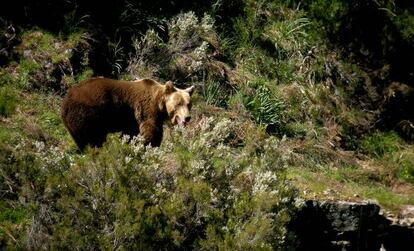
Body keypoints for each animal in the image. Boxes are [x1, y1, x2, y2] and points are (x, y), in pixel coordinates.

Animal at [61, 77, 194, 150]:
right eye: (179, 103)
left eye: (188, 104)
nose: (187, 117)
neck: (159, 104)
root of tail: (65, 102)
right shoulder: (146, 109)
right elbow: (150, 131)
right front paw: (149, 145)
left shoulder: (131, 120)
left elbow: (131, 134)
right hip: (86, 114)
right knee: (93, 139)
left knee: (83, 142)